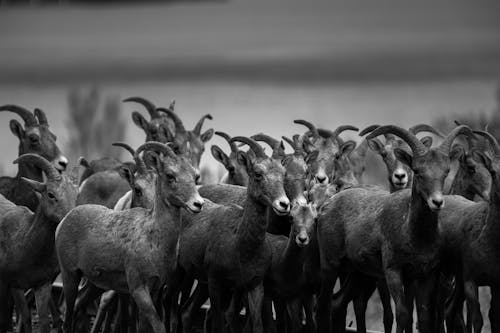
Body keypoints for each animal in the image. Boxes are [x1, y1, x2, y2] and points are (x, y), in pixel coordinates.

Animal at [0, 153, 76, 332]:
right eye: (50, 194)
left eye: (75, 194)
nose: (70, 218)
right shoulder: (9, 283)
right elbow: (18, 319)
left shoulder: (41, 285)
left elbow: (41, 322)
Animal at [54, 141, 203, 332]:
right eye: (170, 175)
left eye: (195, 177)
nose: (198, 204)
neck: (155, 241)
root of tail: (64, 221)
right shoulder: (138, 290)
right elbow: (158, 326)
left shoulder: (155, 289)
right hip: (70, 276)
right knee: (67, 313)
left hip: (95, 284)